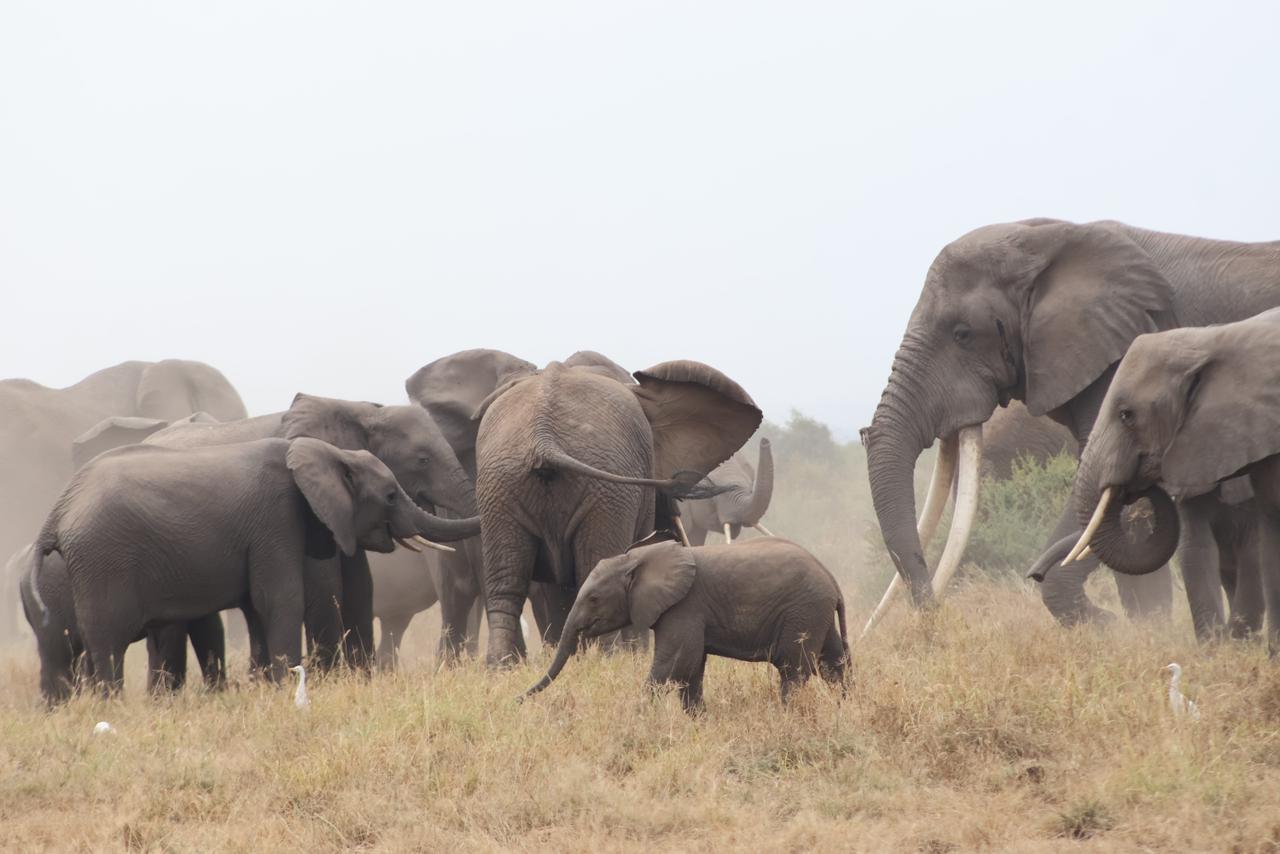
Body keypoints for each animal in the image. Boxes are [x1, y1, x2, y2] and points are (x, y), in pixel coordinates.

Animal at [28, 437, 472, 691]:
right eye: (392, 495)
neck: (328, 451)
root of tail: (58, 511)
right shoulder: (275, 517)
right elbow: (280, 599)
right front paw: (283, 687)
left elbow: (258, 608)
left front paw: (263, 687)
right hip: (102, 561)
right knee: (106, 642)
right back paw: (110, 704)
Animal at [141, 393, 479, 671]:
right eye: (422, 460)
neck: (364, 412)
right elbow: (326, 583)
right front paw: (329, 677)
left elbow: (360, 583)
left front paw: (361, 676)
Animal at [419, 354, 760, 665]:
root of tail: (543, 439)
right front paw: (628, 658)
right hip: (601, 492)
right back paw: (605, 659)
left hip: (501, 486)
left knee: (506, 585)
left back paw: (499, 669)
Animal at [523, 537, 849, 711]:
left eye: (593, 598)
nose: (518, 700)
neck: (637, 558)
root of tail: (833, 580)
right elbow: (691, 668)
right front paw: (698, 722)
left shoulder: (685, 606)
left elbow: (676, 663)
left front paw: (641, 715)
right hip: (815, 612)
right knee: (833, 663)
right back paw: (845, 707)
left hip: (802, 611)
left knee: (793, 669)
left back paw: (787, 714)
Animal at [1062, 308, 1280, 647]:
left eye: (1126, 415)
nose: (1132, 489)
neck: (1212, 339)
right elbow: (1197, 549)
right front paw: (1216, 647)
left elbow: (1252, 552)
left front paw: (1236, 641)